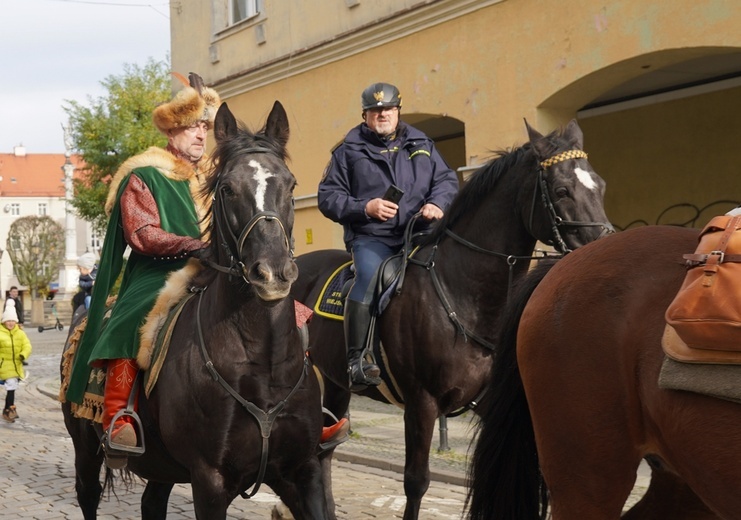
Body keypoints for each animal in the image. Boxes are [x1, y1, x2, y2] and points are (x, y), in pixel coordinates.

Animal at [62, 102, 330, 520]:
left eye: (290, 184)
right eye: (227, 188)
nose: (272, 272)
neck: (263, 362)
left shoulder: (303, 471)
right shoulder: (210, 481)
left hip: (162, 466)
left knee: (151, 503)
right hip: (86, 450)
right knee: (88, 495)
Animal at [290, 119, 612, 520]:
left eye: (600, 185)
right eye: (562, 189)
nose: (605, 249)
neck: (464, 291)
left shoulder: (490, 404)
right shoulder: (422, 402)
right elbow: (416, 482)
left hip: (335, 383)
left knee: (325, 449)